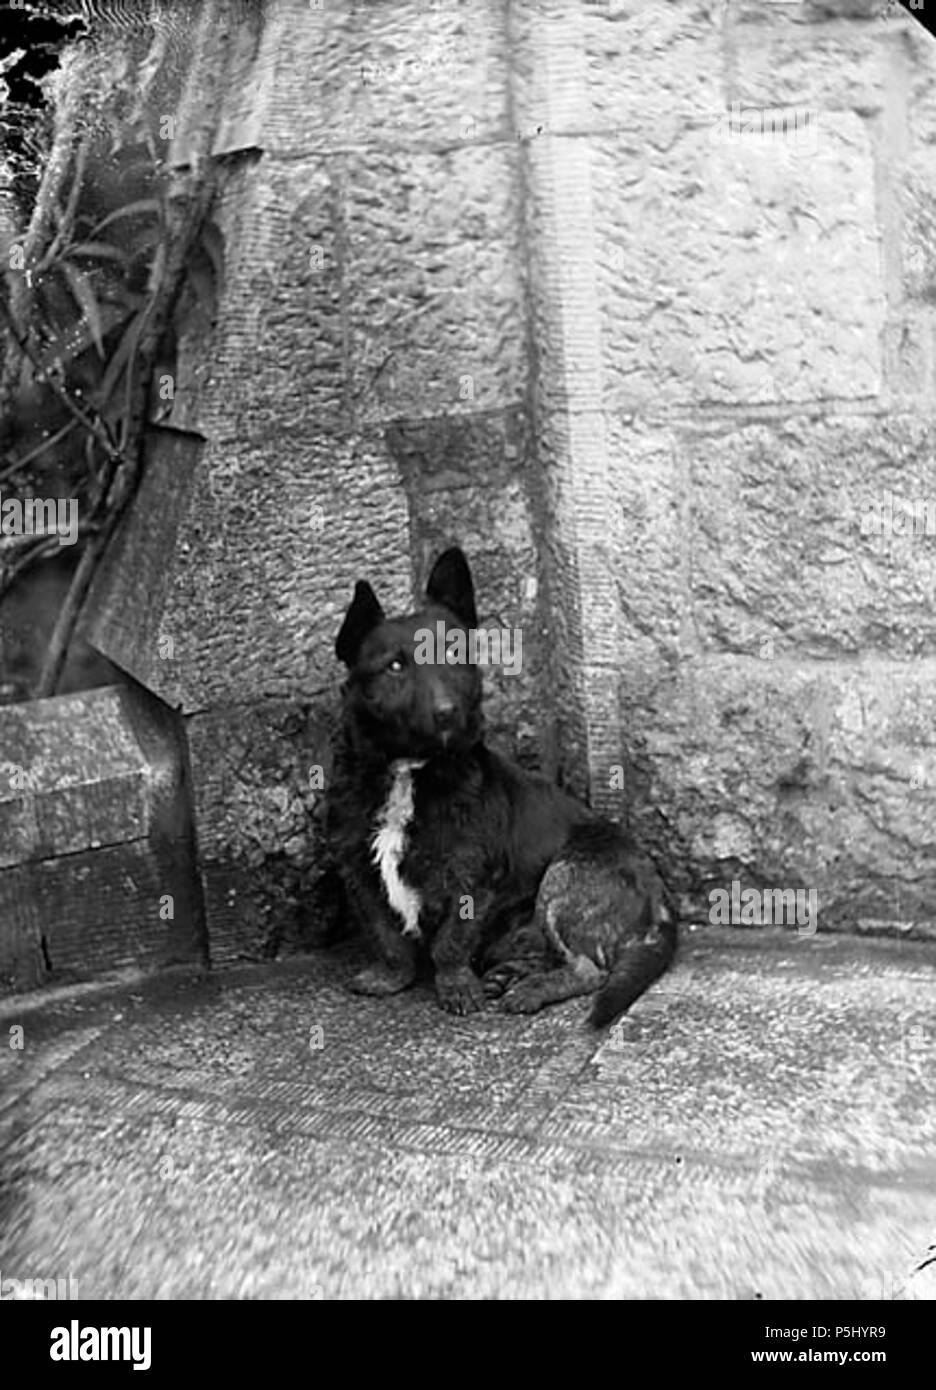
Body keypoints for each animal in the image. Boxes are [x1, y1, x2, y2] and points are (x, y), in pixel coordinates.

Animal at [321, 547, 673, 1028]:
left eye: (454, 652)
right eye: (395, 666)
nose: (449, 713)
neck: (413, 771)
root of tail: (660, 898)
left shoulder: (471, 878)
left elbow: (451, 941)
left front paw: (455, 987)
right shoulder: (358, 869)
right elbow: (387, 935)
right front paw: (392, 977)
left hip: (564, 879)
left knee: (587, 970)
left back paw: (530, 990)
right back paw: (508, 976)